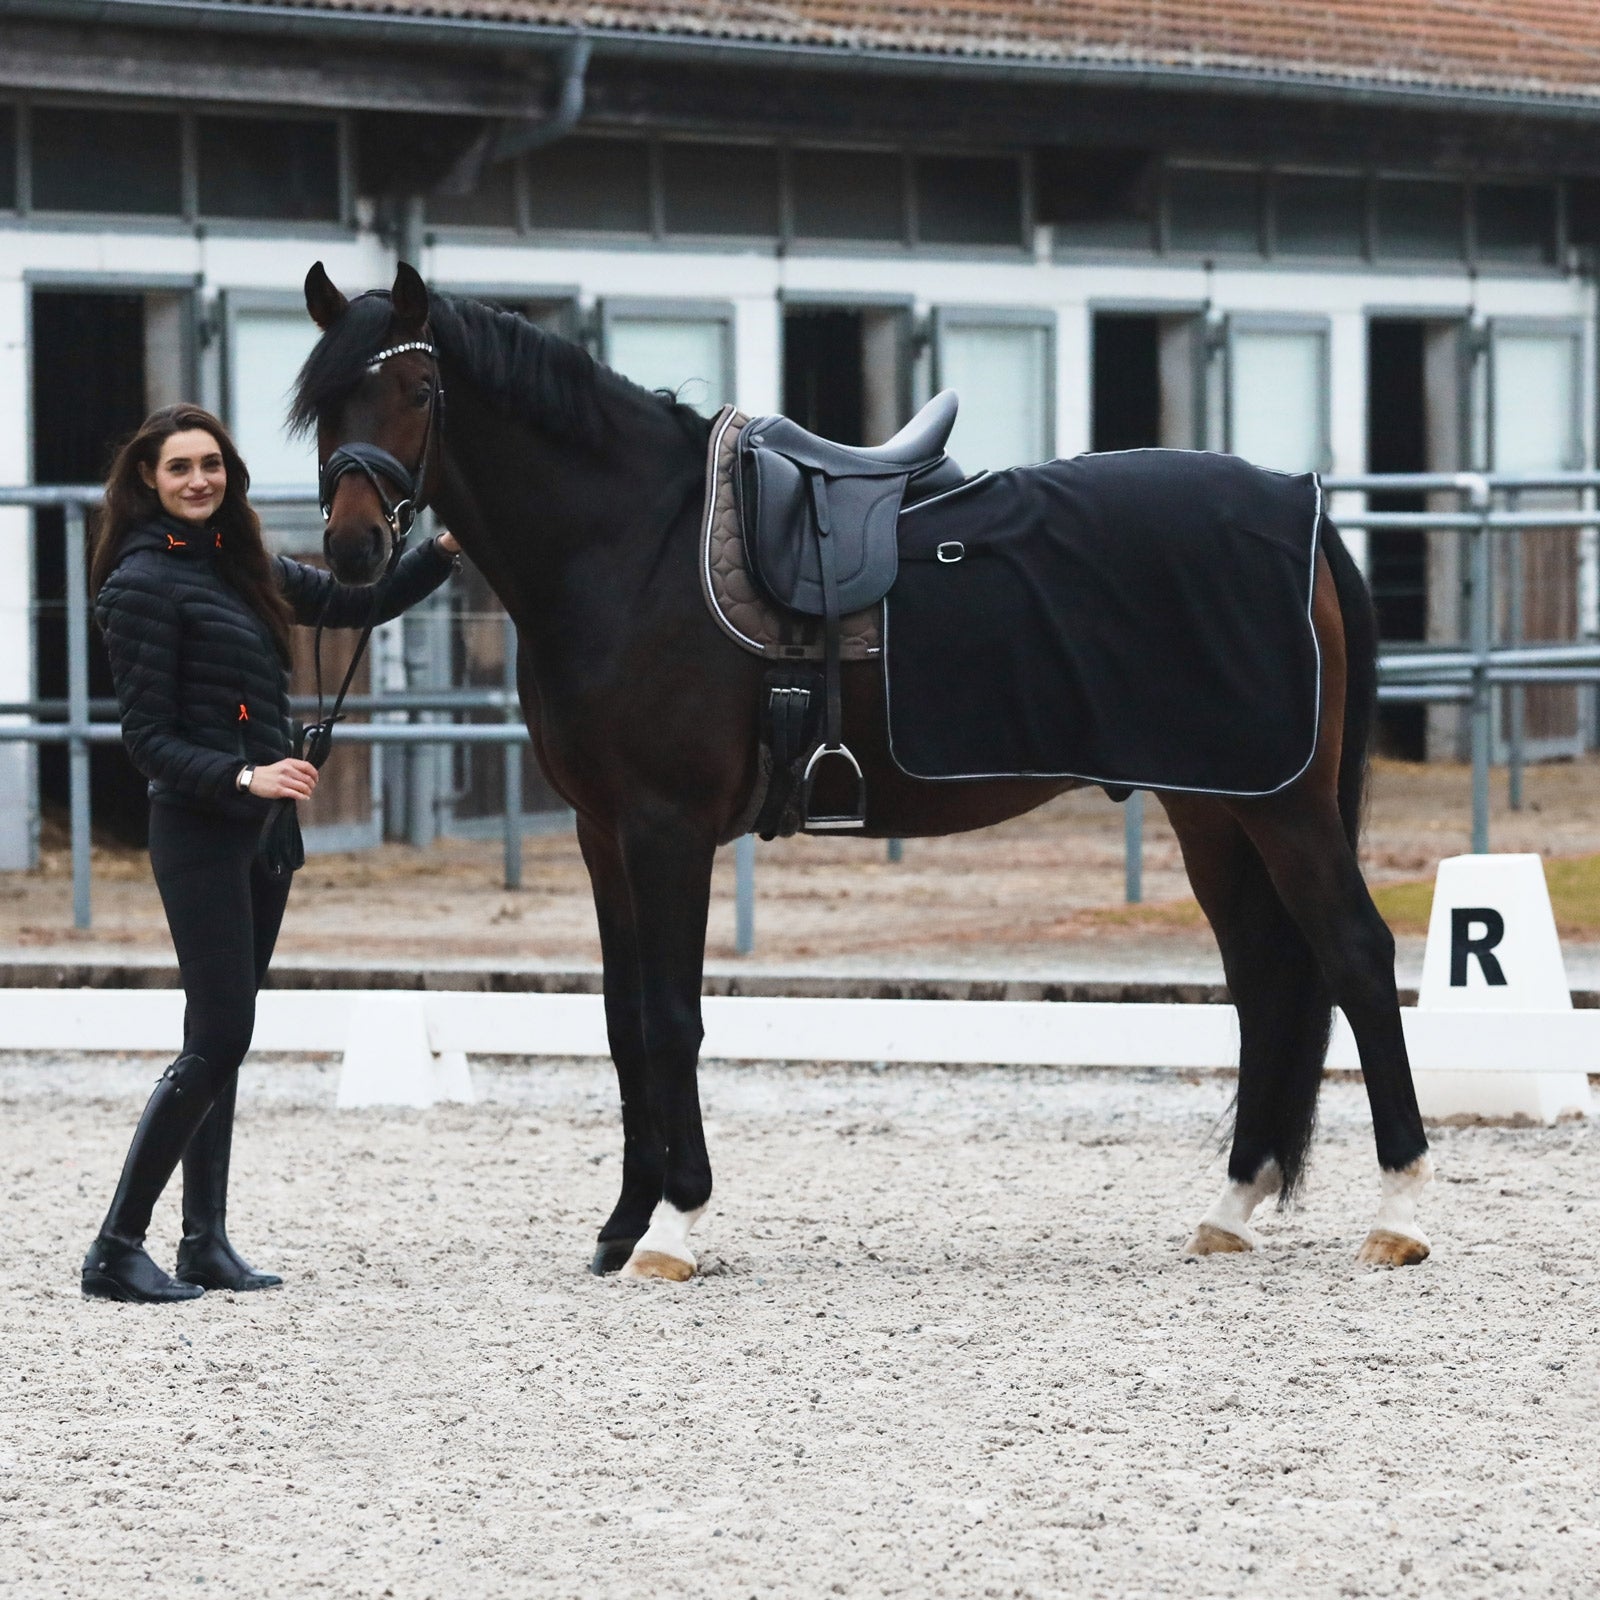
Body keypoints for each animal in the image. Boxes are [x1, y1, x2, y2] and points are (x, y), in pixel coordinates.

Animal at [292, 261, 1433, 1280]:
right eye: (321, 400)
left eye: (419, 391)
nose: (351, 550)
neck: (634, 544)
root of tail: (1300, 514)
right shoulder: (602, 832)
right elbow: (622, 1023)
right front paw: (622, 1223)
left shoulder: (667, 828)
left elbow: (671, 1018)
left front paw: (676, 1224)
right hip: (1216, 808)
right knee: (1261, 975)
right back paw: (1231, 1206)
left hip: (1285, 806)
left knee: (1353, 954)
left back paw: (1399, 1210)